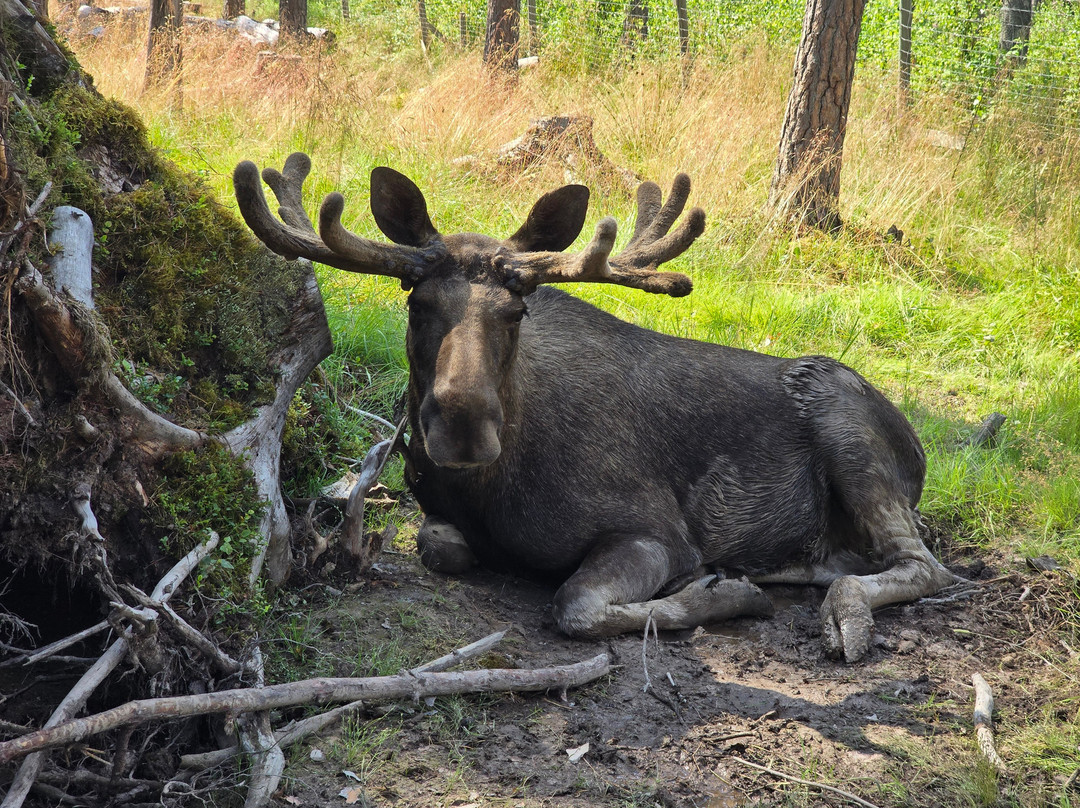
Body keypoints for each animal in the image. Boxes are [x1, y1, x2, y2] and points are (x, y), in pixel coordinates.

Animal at [233, 153, 955, 663]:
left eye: (516, 309)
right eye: (415, 301)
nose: (463, 427)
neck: (491, 486)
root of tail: (919, 445)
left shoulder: (657, 532)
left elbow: (574, 605)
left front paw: (723, 591)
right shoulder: (442, 515)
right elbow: (439, 543)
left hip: (852, 439)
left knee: (924, 565)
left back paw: (842, 613)